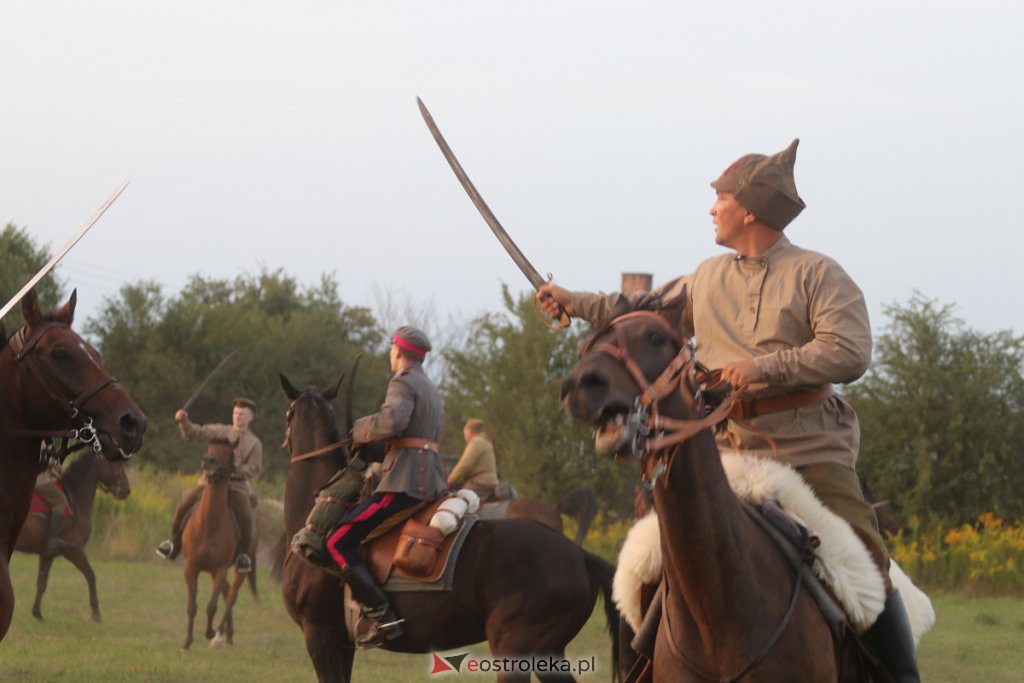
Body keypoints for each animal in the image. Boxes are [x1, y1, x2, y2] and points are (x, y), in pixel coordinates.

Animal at [14, 450, 130, 622]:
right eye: (116, 463)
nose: (126, 490)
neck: (75, 499)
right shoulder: (75, 551)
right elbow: (91, 575)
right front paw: (96, 613)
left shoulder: (47, 554)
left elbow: (42, 582)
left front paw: (37, 613)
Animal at [181, 438, 258, 651]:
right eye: (209, 448)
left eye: (229, 453)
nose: (208, 462)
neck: (209, 525)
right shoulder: (191, 567)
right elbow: (192, 606)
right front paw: (187, 642)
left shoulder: (219, 570)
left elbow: (211, 606)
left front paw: (209, 632)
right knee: (227, 593)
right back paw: (226, 635)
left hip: (240, 569)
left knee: (232, 595)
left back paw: (219, 635)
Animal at [276, 374, 618, 683]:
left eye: (288, 413)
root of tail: (580, 556)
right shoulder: (342, 645)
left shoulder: (321, 637)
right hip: (548, 653)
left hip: (514, 649)